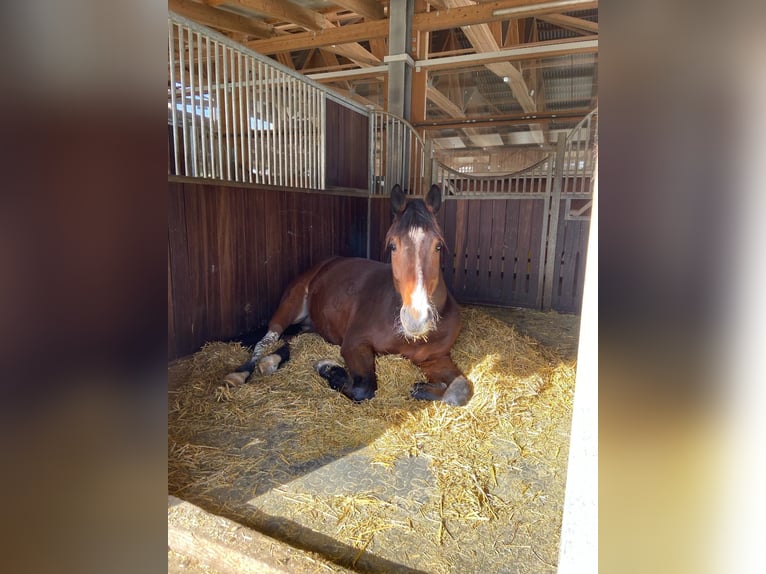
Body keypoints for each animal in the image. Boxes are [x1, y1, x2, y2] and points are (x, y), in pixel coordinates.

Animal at [222, 183, 474, 404]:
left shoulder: (437, 359)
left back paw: (271, 361)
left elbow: (460, 390)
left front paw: (421, 388)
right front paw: (327, 367)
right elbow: (365, 387)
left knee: (291, 340)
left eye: (438, 246)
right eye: (393, 246)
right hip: (289, 307)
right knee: (266, 340)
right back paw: (239, 374)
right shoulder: (354, 344)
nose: (416, 319)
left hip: (311, 325)